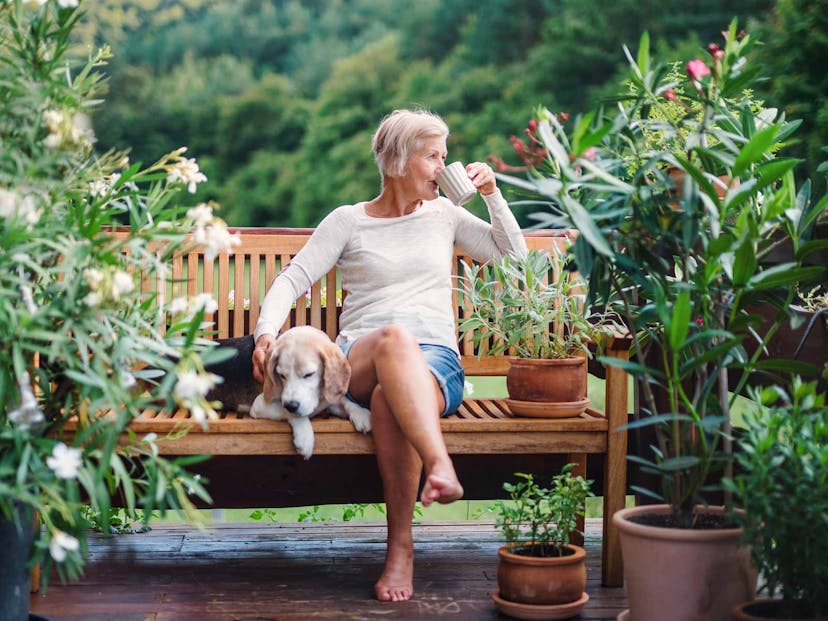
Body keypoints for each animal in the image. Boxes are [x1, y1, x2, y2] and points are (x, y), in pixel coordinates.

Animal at [246, 326, 372, 458]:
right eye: (281, 375)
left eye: (309, 374)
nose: (291, 405)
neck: (318, 397)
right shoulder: (259, 405)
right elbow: (289, 412)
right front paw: (305, 437)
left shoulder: (327, 402)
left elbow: (345, 401)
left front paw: (360, 412)